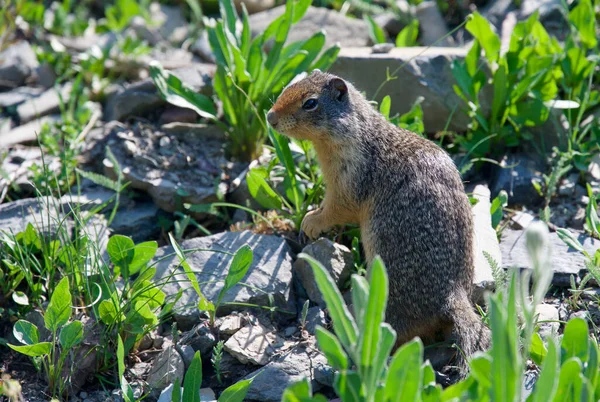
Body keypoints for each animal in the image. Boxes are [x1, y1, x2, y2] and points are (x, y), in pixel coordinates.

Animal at [268, 70, 492, 376]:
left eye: (310, 103)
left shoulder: (349, 180)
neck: (357, 134)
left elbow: (336, 209)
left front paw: (311, 222)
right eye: (290, 84)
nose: (270, 117)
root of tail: (454, 296)